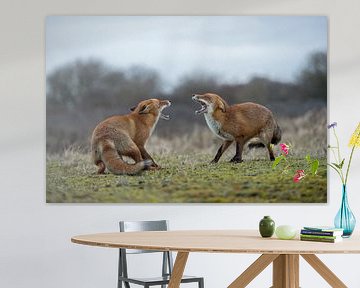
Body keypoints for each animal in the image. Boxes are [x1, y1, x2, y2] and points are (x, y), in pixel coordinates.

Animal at [92, 93, 282, 174]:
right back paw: (146, 168)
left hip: (265, 137)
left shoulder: (235, 138)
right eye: (158, 102)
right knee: (136, 161)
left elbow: (232, 151)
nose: (168, 100)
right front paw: (155, 165)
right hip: (132, 147)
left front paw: (234, 161)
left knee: (270, 147)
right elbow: (150, 157)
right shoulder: (140, 144)